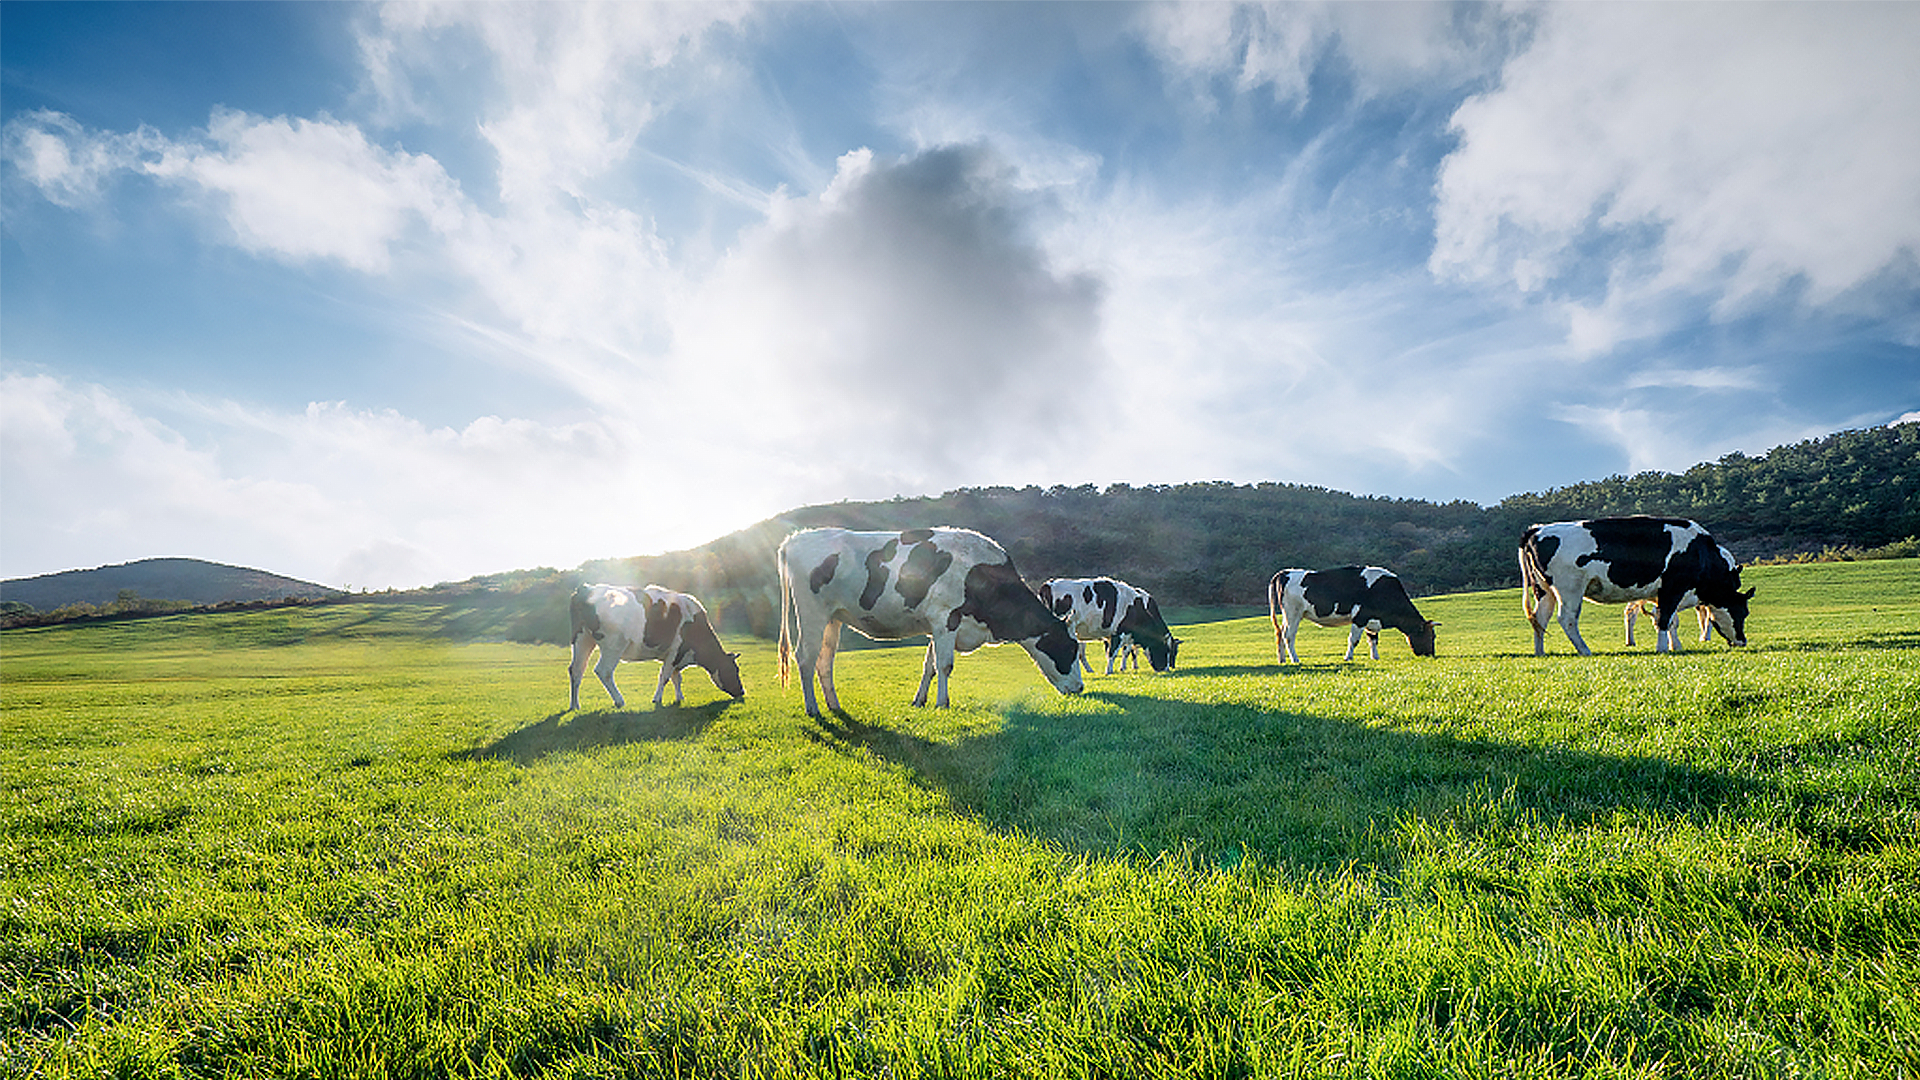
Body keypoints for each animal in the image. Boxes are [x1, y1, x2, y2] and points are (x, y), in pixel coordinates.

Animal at [568, 584, 745, 709]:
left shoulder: (677, 656)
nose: (742, 691)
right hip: (613, 645)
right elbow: (665, 676)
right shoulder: (675, 651)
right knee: (603, 671)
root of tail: (586, 588)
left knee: (576, 669)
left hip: (582, 639)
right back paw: (619, 701)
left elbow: (676, 678)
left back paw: (575, 706)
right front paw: (657, 699)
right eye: (734, 670)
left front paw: (679, 698)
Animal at [777, 527, 1083, 718]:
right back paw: (813, 709)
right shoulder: (946, 617)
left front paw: (919, 701)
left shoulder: (938, 625)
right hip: (811, 613)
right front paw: (942, 703)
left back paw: (834, 706)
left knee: (824, 661)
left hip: (833, 619)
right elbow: (945, 665)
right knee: (804, 657)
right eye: (1070, 649)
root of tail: (796, 538)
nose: (1081, 688)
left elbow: (930, 666)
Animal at [1037, 576, 1181, 674]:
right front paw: (1111, 670)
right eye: (1167, 650)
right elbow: (1115, 652)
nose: (1168, 668)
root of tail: (1047, 584)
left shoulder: (1113, 636)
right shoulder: (1119, 633)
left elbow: (1113, 652)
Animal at [1268, 566, 1438, 663]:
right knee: (1289, 636)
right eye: (1431, 636)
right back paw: (1295, 659)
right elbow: (1354, 640)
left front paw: (1375, 657)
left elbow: (1373, 640)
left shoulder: (1371, 619)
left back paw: (1282, 660)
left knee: (1280, 633)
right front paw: (1348, 657)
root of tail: (1285, 572)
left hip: (1287, 616)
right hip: (1293, 614)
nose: (1431, 654)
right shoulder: (1360, 617)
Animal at [1519, 516, 1753, 656]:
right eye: (1744, 612)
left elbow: (1667, 620)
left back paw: (1540, 652)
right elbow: (1664, 619)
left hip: (1544, 591)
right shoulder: (1673, 589)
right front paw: (1662, 649)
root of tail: (1537, 529)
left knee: (1539, 619)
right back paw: (1585, 650)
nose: (1742, 641)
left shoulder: (1662, 594)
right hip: (1569, 589)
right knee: (1566, 619)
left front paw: (1674, 646)